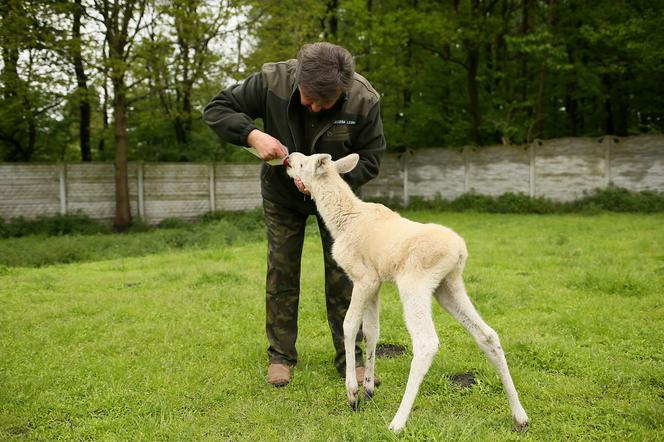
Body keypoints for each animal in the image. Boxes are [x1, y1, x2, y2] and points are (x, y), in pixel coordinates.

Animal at [286, 151, 528, 432]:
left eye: (303, 164)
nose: (288, 158)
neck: (342, 222)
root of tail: (459, 251)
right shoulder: (376, 282)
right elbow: (372, 331)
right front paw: (368, 389)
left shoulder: (363, 277)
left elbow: (349, 325)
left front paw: (352, 393)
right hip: (449, 285)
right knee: (487, 335)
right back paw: (520, 416)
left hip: (415, 283)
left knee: (426, 343)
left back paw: (398, 422)